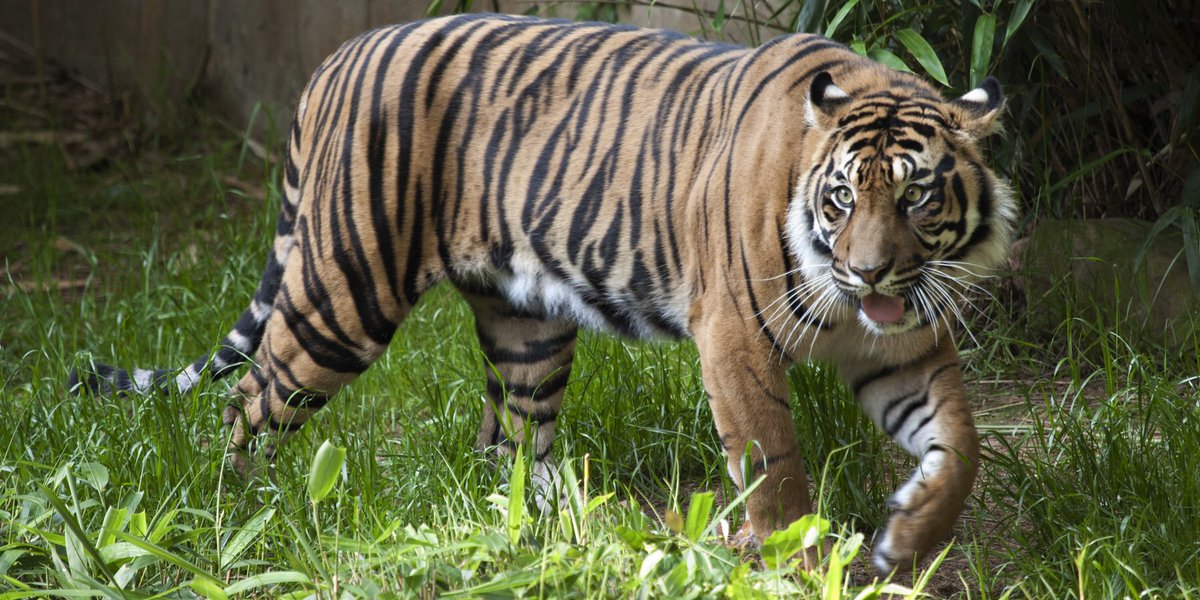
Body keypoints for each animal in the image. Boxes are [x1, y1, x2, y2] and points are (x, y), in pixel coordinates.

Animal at [69, 13, 1016, 572]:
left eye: (917, 197)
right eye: (844, 197)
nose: (870, 272)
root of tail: (338, 55)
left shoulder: (906, 345)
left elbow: (960, 449)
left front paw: (906, 539)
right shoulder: (736, 337)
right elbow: (774, 462)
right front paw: (800, 561)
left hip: (526, 324)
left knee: (507, 444)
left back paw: (565, 525)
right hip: (345, 293)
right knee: (252, 401)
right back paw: (242, 512)